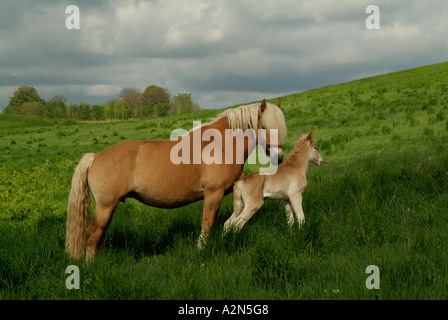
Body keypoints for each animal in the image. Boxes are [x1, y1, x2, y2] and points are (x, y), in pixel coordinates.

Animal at [65, 98, 288, 260]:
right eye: (265, 127)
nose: (279, 157)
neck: (220, 144)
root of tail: (96, 156)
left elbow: (215, 222)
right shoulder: (213, 194)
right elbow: (207, 223)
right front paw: (201, 250)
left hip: (109, 207)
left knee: (100, 235)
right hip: (105, 206)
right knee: (92, 234)